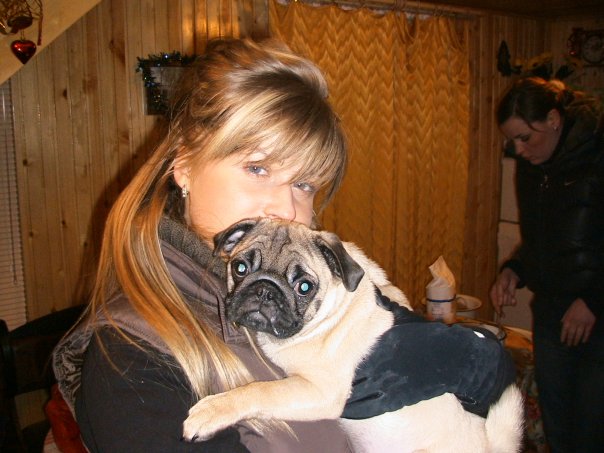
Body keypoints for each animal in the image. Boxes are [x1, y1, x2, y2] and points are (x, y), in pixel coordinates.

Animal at [183, 218, 524, 452]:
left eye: (304, 286)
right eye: (240, 268)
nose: (265, 289)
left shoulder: (319, 391)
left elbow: (258, 391)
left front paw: (212, 410)